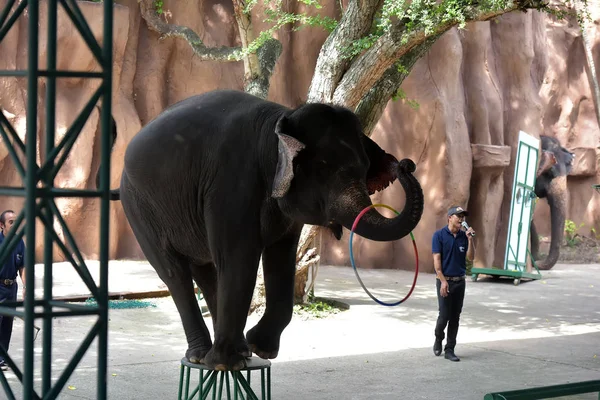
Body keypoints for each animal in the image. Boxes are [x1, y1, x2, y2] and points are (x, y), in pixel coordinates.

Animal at [109, 89, 426, 370]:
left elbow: (281, 258)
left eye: (364, 167)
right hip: (139, 208)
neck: (278, 123)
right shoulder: (231, 183)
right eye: (323, 170)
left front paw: (258, 349)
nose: (406, 165)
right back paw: (204, 357)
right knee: (174, 272)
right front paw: (228, 363)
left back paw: (233, 352)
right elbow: (239, 258)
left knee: (205, 269)